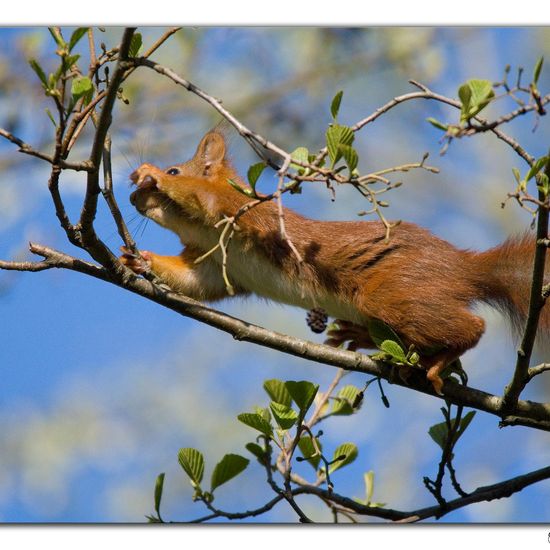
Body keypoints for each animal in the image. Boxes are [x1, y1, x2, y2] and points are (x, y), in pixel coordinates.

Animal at [122, 129, 550, 396]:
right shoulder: (211, 267)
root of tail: (464, 268)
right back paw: (365, 339)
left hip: (396, 293)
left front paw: (151, 173)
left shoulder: (234, 208)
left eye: (175, 168)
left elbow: (198, 195)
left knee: (472, 327)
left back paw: (439, 359)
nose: (132, 199)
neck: (205, 233)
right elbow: (192, 282)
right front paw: (139, 260)